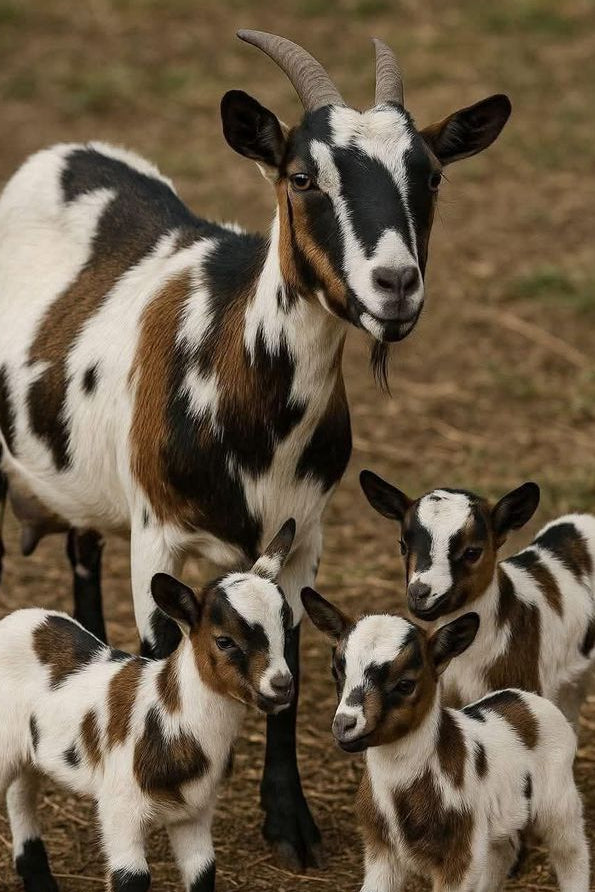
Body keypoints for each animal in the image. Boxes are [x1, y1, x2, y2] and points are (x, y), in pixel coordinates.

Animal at [0, 522, 295, 892]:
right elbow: (132, 878)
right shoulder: (120, 809)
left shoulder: (195, 814)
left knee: (20, 792)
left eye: (287, 628)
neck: (169, 717)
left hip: (27, 751)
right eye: (224, 640)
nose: (282, 685)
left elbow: (204, 872)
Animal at [302, 588, 589, 892]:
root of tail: (528, 698)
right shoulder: (381, 849)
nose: (344, 724)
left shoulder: (460, 853)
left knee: (572, 852)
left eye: (405, 684)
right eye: (336, 672)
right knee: (503, 851)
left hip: (558, 800)